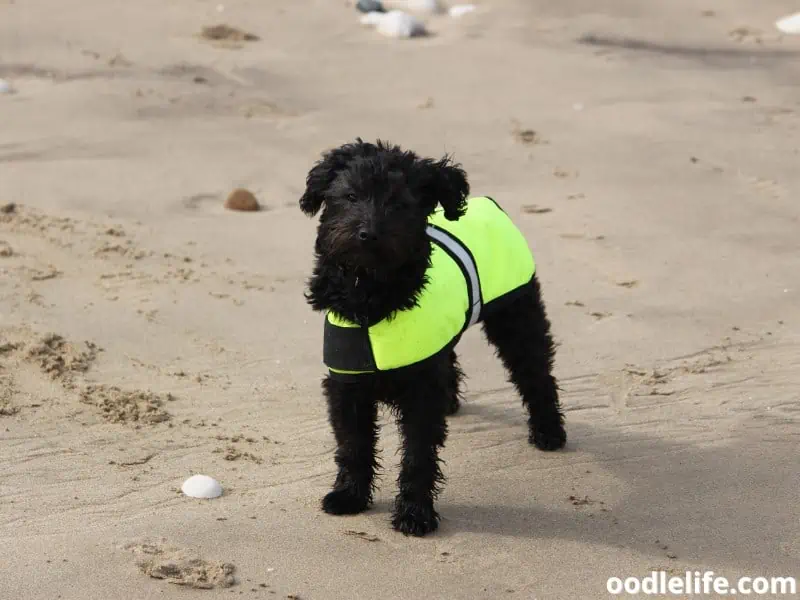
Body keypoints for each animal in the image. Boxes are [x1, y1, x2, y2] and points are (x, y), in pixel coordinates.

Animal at [300, 138, 568, 536]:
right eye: (350, 195)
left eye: (399, 203)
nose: (368, 233)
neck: (373, 297)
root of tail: (490, 203)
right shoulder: (347, 386)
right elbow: (353, 445)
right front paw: (349, 496)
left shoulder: (421, 392)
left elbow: (417, 457)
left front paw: (415, 513)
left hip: (517, 317)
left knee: (535, 373)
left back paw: (549, 431)